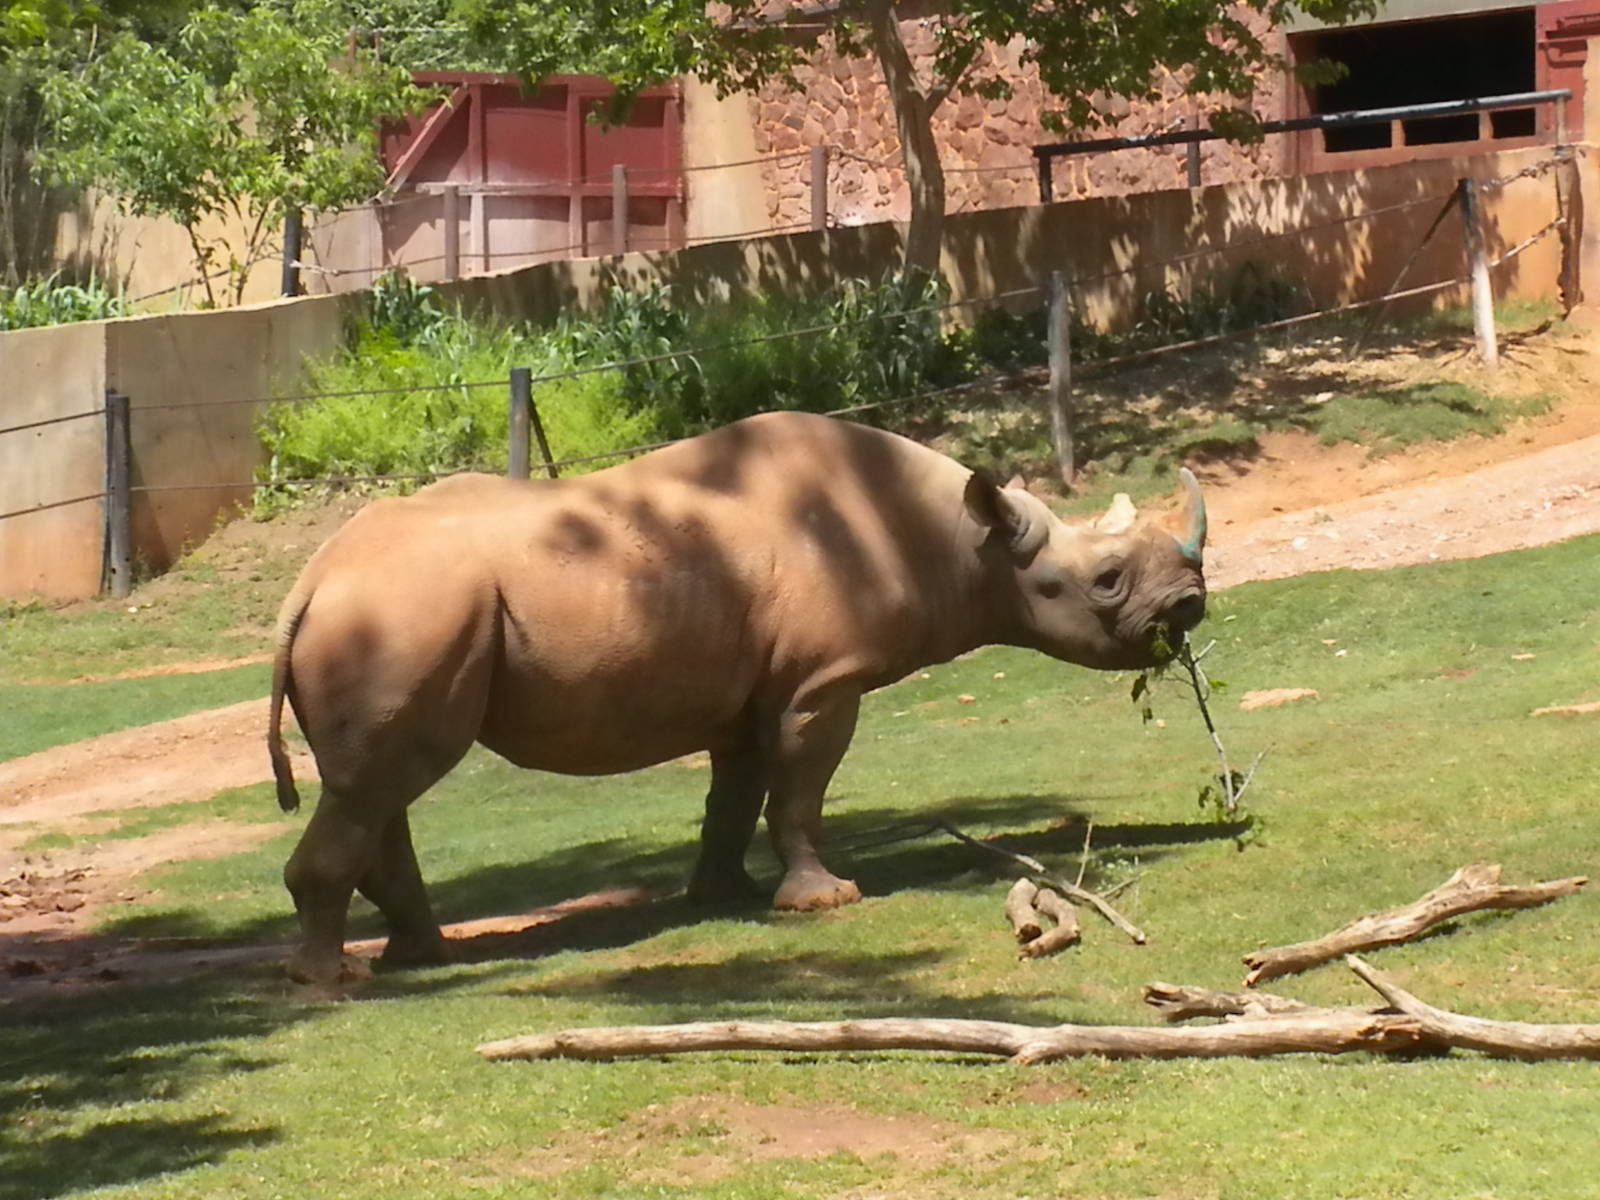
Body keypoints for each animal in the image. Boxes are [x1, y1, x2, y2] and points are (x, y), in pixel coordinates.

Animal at [267, 411, 1207, 984]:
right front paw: (824, 902)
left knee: (378, 782)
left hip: (399, 616)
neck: (964, 542)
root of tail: (308, 584)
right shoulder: (822, 681)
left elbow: (736, 792)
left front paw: (723, 896)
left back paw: (416, 957)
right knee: (381, 782)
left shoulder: (751, 688)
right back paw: (334, 979)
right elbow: (799, 789)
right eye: (1106, 581)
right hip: (409, 612)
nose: (1189, 606)